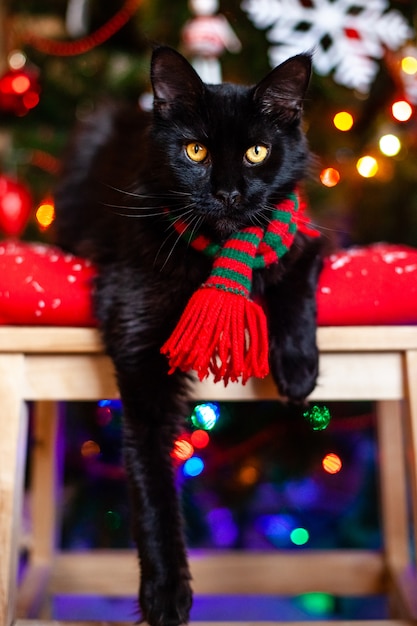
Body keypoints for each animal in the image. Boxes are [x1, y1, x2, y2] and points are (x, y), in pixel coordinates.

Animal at [53, 47, 322, 624]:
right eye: (195, 150)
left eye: (257, 152)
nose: (228, 193)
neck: (215, 256)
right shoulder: (141, 354)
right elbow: (152, 481)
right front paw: (165, 592)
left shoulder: (304, 237)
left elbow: (296, 275)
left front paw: (296, 368)